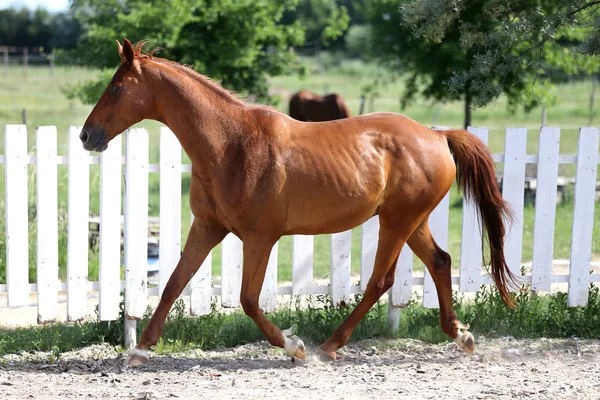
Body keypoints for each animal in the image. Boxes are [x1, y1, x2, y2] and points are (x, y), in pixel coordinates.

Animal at [81, 39, 520, 366]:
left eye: (116, 88)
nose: (87, 135)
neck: (230, 145)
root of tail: (438, 135)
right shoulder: (208, 228)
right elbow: (174, 283)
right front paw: (140, 350)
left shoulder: (259, 237)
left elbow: (248, 299)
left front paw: (294, 347)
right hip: (411, 221)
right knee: (440, 262)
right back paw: (460, 335)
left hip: (397, 222)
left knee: (381, 281)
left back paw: (328, 347)